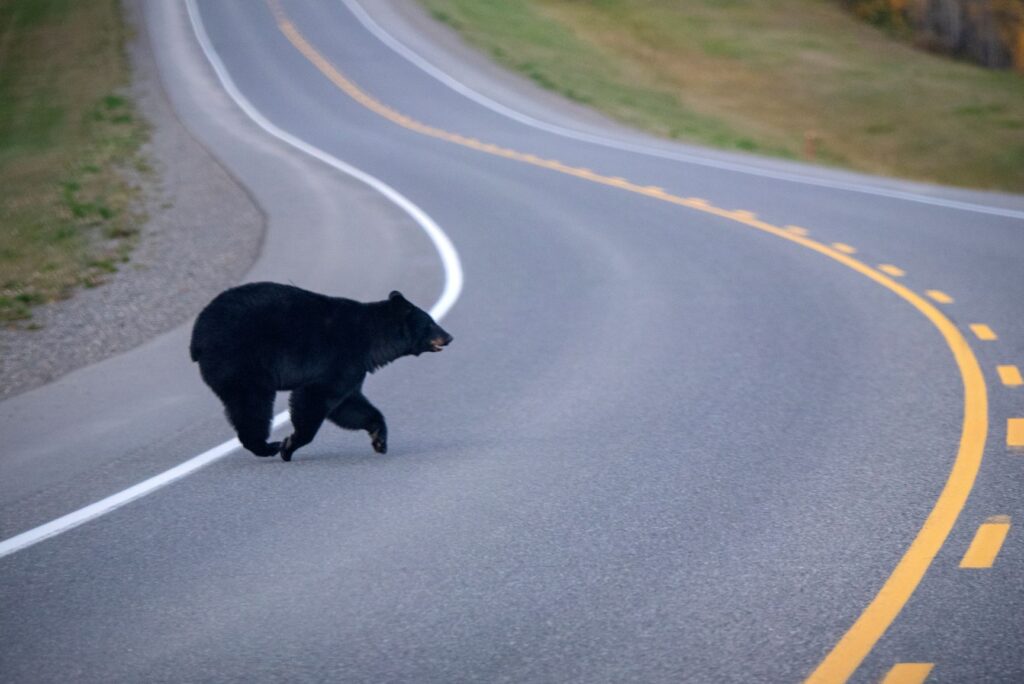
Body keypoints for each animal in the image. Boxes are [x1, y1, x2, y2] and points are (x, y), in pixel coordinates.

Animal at [189, 282, 452, 462]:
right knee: (251, 404)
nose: (449, 336)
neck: (371, 338)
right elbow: (314, 398)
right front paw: (290, 444)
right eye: (430, 323)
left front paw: (379, 439)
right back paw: (267, 446)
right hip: (241, 361)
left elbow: (349, 405)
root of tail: (197, 337)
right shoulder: (338, 360)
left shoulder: (353, 368)